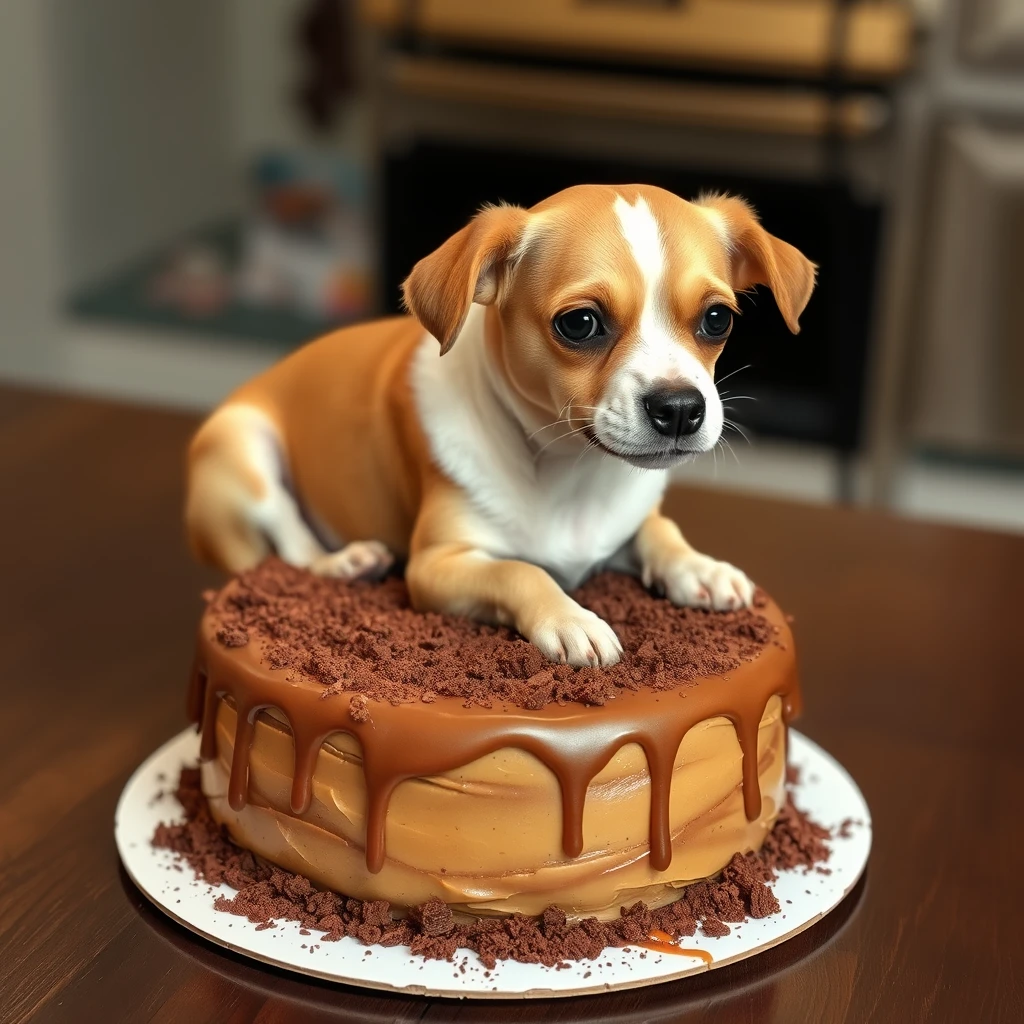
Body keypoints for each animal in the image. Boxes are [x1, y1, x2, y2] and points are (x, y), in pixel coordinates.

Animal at [186, 184, 815, 667]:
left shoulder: (629, 522)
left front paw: (699, 567)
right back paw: (344, 561)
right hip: (245, 450)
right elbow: (520, 572)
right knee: (288, 542)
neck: (572, 472)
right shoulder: (436, 566)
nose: (682, 408)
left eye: (718, 319)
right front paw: (571, 617)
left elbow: (660, 532)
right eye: (580, 324)